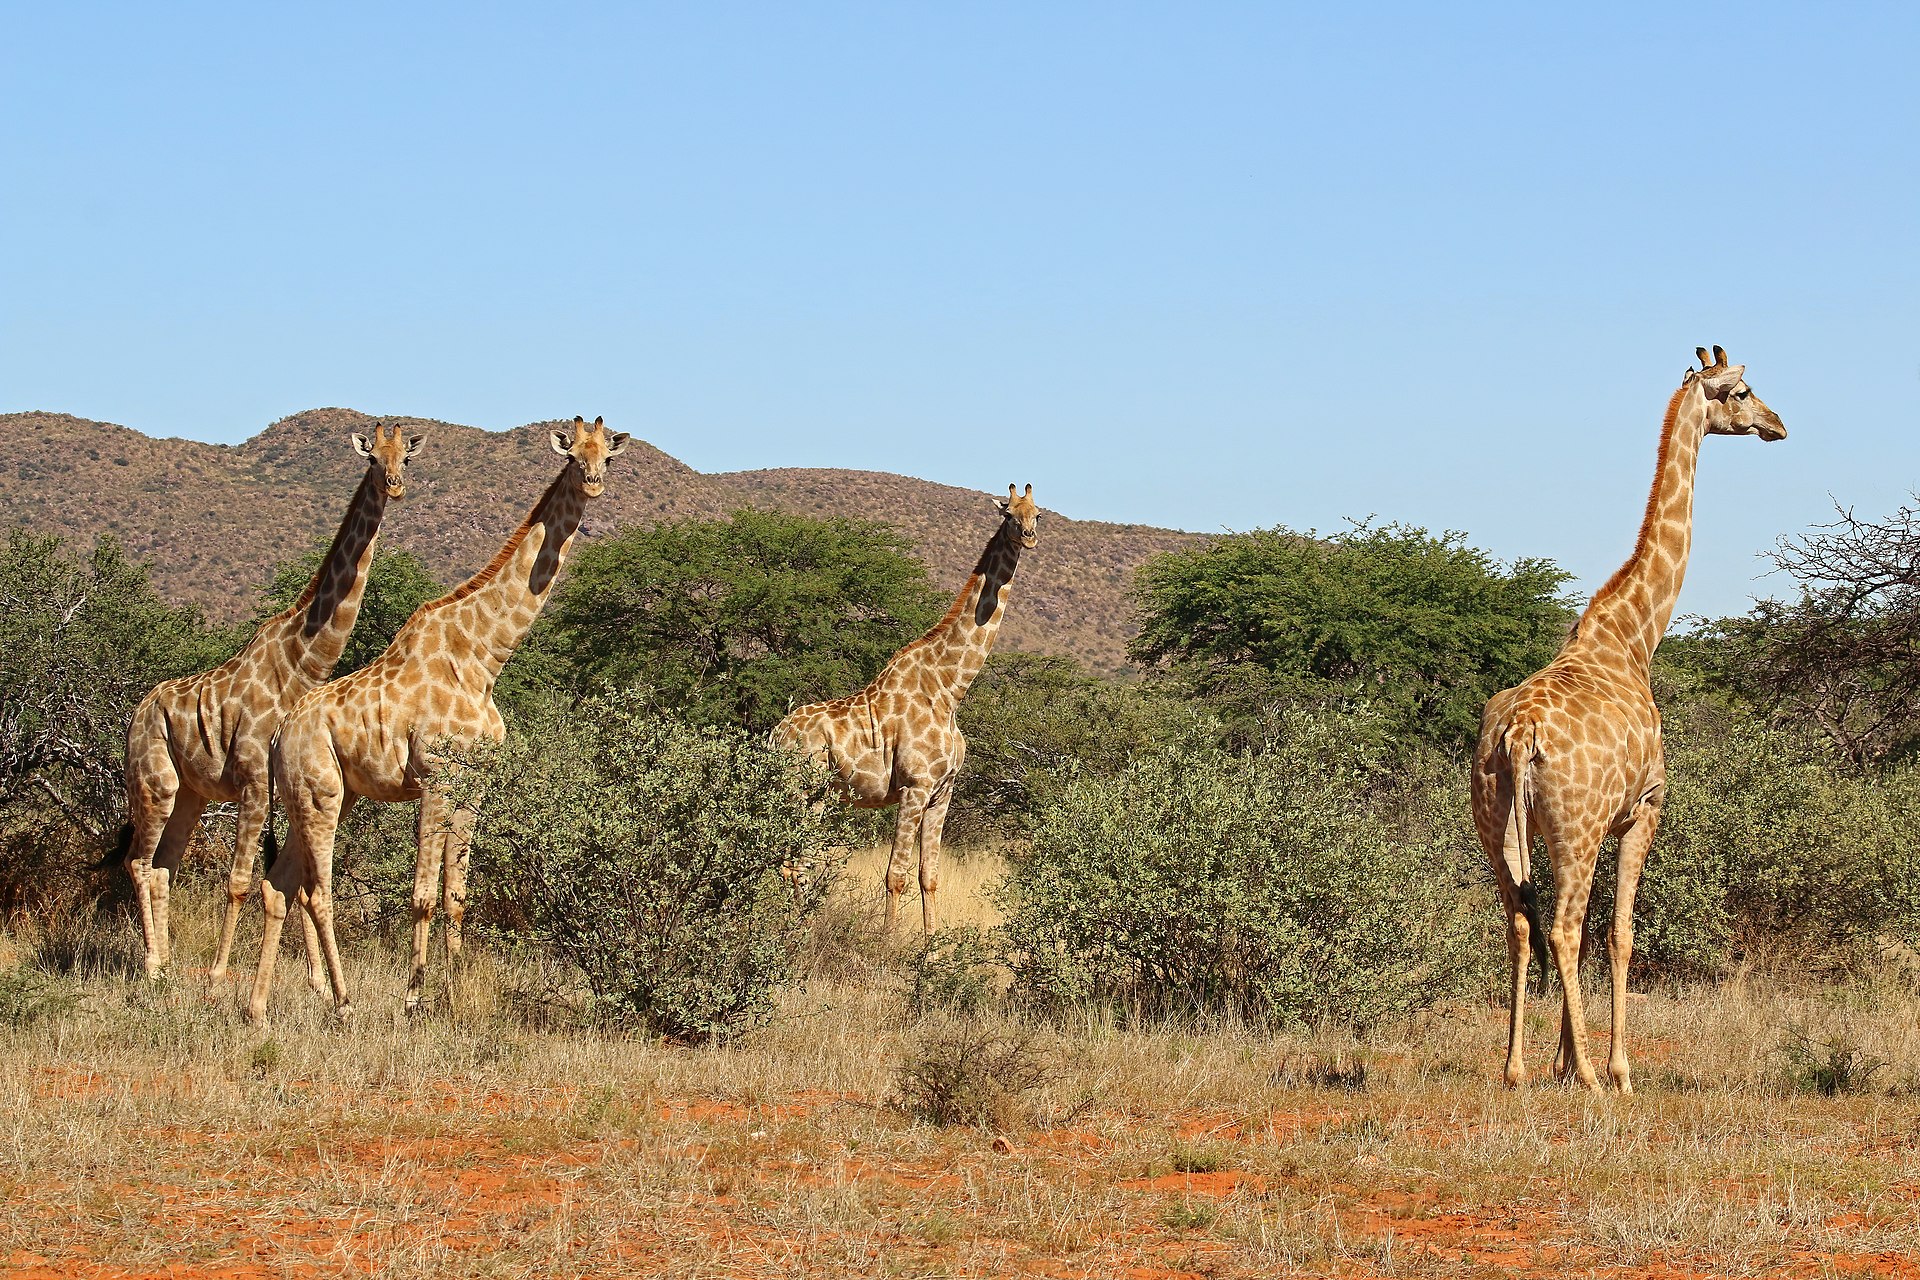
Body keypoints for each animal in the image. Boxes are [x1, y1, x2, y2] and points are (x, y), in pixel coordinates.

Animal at [121, 420, 422, 982]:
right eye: (372, 458)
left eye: (406, 459)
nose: (394, 486)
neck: (300, 665)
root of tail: (137, 712)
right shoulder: (255, 780)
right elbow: (242, 880)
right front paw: (219, 978)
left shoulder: (289, 786)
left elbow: (295, 883)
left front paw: (317, 985)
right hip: (154, 784)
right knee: (138, 861)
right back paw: (151, 965)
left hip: (191, 794)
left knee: (164, 867)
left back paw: (167, 965)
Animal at [243, 416, 625, 1028]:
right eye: (573, 456)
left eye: (606, 456)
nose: (593, 483)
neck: (484, 657)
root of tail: (280, 733)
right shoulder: (434, 779)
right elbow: (422, 894)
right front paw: (412, 1000)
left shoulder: (474, 786)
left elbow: (456, 895)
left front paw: (452, 994)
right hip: (319, 793)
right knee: (317, 891)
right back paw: (343, 1003)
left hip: (325, 796)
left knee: (278, 886)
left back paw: (255, 1009)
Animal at [768, 479, 1044, 932]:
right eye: (1007, 513)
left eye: (1038, 514)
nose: (1029, 536)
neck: (950, 689)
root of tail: (774, 736)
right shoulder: (915, 787)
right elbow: (895, 875)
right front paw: (888, 941)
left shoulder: (942, 791)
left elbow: (928, 875)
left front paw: (932, 949)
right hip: (804, 791)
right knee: (794, 863)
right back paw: (792, 929)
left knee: (789, 860)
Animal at [1474, 347, 1789, 1090]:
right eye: (1742, 391)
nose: (1777, 424)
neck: (1635, 636)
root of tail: (1516, 736)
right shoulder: (1643, 809)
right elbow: (1618, 933)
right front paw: (1610, 1068)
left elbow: (1590, 932)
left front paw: (1561, 1059)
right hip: (1577, 826)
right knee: (1562, 928)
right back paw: (1594, 1077)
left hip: (1498, 827)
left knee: (1521, 923)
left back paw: (1515, 1069)